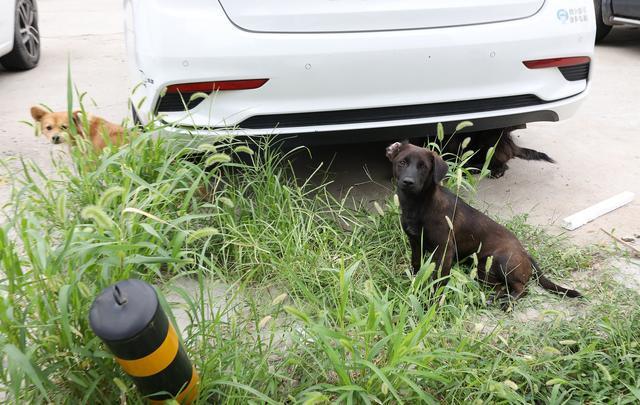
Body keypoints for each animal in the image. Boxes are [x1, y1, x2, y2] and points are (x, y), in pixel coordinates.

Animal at [384, 140, 580, 308]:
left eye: (423, 167)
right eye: (402, 163)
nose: (408, 182)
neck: (419, 204)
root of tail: (525, 253)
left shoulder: (445, 250)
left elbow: (439, 278)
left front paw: (433, 302)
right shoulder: (415, 242)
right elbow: (416, 263)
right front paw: (414, 281)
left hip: (501, 261)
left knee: (522, 288)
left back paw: (508, 302)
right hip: (482, 269)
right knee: (501, 287)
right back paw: (490, 299)